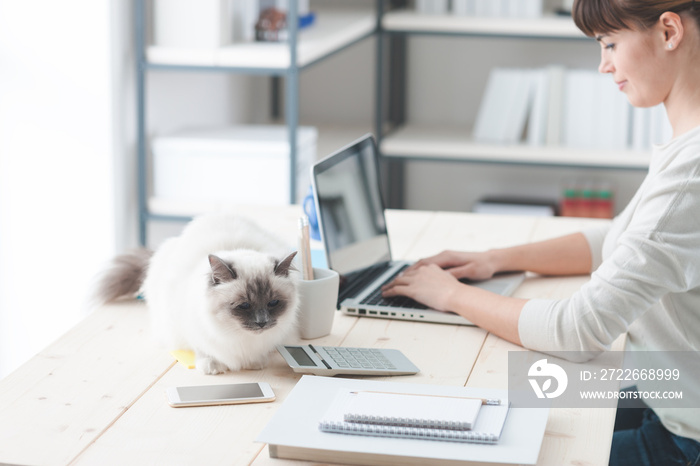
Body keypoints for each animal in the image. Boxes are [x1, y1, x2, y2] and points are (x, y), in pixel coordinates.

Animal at [92, 215, 298, 374]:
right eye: (244, 305)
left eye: (273, 303)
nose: (262, 322)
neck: (238, 336)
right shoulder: (189, 326)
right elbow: (203, 350)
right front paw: (212, 367)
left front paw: (255, 362)